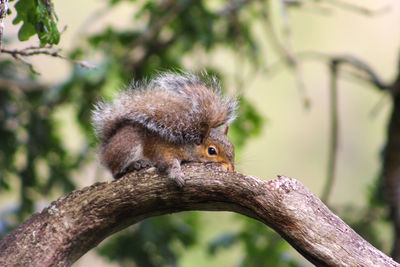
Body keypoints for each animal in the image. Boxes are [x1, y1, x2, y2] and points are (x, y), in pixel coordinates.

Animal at [93, 72, 238, 187]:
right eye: (212, 151)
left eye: (232, 147)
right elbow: (166, 161)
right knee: (116, 171)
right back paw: (135, 164)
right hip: (127, 145)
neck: (188, 142)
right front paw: (177, 174)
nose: (231, 167)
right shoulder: (166, 149)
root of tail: (106, 148)